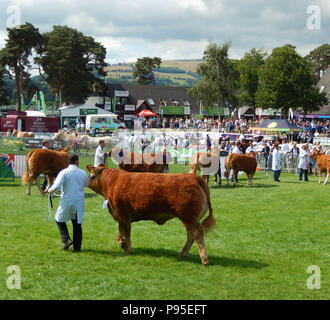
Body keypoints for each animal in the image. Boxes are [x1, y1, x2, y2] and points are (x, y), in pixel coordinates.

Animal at [85, 165, 217, 264]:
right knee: (191, 235)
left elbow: (126, 232)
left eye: (91, 174)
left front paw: (127, 248)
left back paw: (204, 259)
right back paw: (183, 254)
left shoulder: (123, 215)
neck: (111, 182)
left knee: (197, 234)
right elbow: (120, 230)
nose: (87, 181)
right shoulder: (120, 216)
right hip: (190, 219)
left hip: (190, 218)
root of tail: (195, 178)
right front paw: (122, 243)